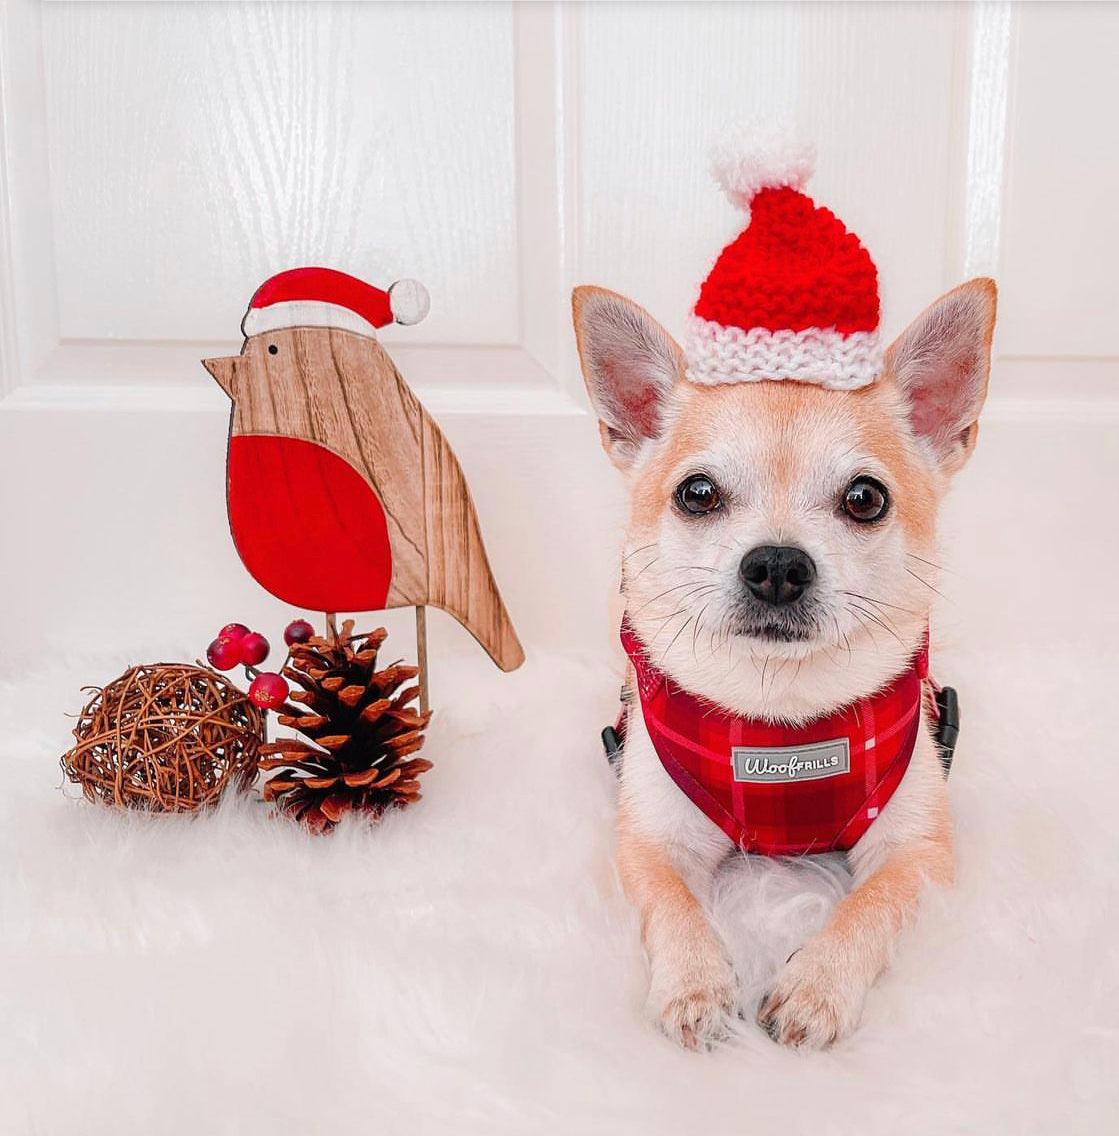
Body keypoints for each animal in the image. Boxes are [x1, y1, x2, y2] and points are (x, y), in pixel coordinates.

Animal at [577, 268, 995, 1045]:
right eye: (697, 494)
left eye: (864, 498)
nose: (775, 564)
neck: (781, 720)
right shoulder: (648, 842)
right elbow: (672, 903)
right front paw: (694, 983)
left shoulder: (917, 853)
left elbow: (871, 905)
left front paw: (818, 985)